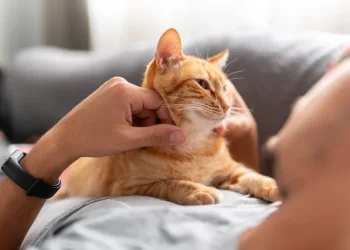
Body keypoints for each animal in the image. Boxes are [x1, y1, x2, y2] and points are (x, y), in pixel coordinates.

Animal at [56, 28, 278, 204]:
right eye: (202, 84)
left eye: (225, 89)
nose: (228, 105)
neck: (194, 146)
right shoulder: (129, 187)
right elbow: (168, 183)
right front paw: (197, 189)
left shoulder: (231, 170)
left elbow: (252, 175)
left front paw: (273, 185)